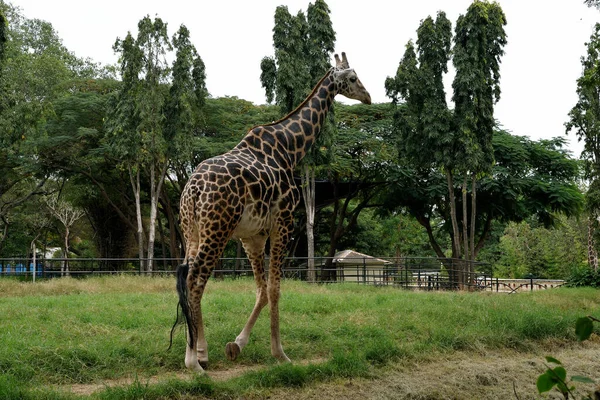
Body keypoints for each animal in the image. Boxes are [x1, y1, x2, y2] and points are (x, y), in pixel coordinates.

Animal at [173, 52, 370, 372]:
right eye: (353, 78)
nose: (367, 96)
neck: (290, 148)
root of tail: (193, 189)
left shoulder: (252, 236)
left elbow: (262, 290)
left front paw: (236, 345)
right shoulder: (284, 223)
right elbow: (276, 289)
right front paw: (280, 353)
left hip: (193, 229)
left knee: (187, 276)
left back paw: (200, 352)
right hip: (218, 229)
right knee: (195, 279)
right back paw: (193, 361)